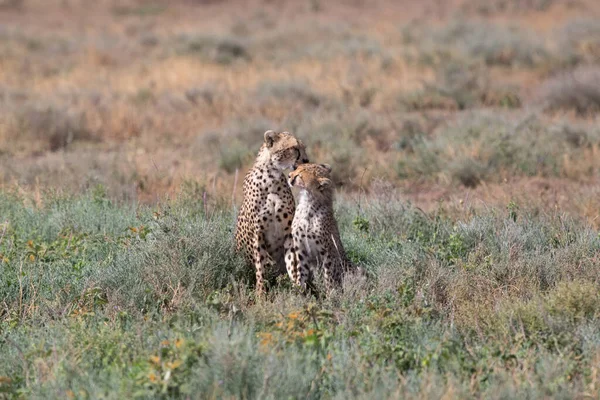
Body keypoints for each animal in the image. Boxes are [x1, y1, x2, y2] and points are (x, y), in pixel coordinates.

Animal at [234, 130, 310, 296]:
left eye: (303, 147)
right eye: (294, 147)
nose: (306, 160)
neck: (271, 177)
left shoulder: (288, 234)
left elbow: (293, 263)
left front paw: (297, 289)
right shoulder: (258, 234)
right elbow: (260, 266)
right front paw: (261, 294)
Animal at [284, 162, 354, 294]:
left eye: (300, 174)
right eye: (297, 168)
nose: (289, 175)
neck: (308, 202)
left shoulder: (328, 251)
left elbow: (329, 276)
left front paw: (331, 294)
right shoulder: (300, 249)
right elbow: (301, 273)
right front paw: (300, 293)